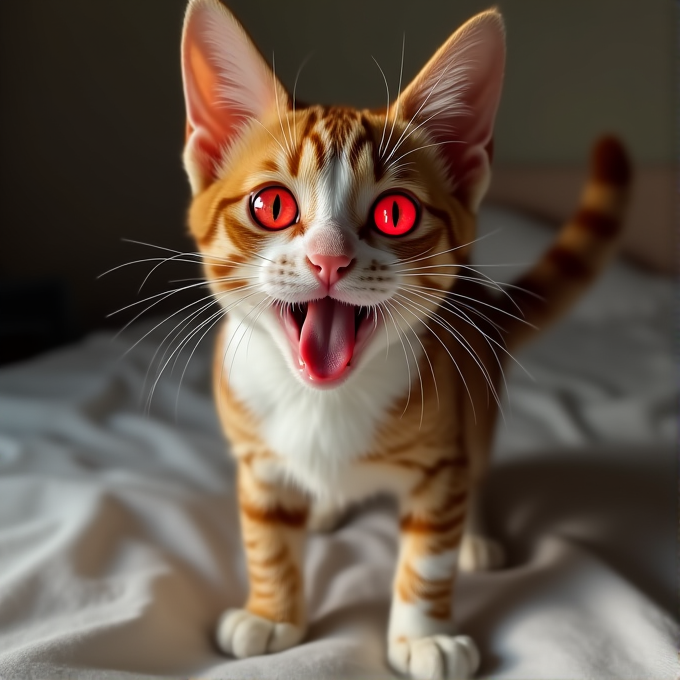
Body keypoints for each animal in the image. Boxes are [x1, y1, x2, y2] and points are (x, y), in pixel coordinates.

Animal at [178, 1, 628, 676]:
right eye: (272, 205)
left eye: (396, 214)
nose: (328, 259)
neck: (325, 402)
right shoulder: (254, 455)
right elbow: (265, 535)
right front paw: (272, 613)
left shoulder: (442, 456)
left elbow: (429, 552)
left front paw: (422, 635)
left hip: (479, 397)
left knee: (478, 463)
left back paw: (476, 536)